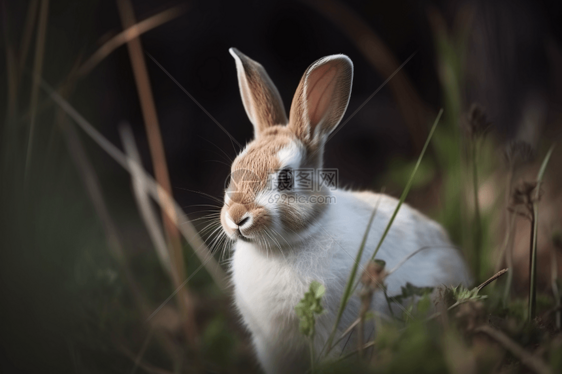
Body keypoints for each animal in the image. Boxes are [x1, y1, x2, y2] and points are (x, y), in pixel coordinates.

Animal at [221, 47, 470, 374]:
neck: (281, 248)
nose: (236, 217)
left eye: (285, 179)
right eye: (234, 170)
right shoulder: (273, 347)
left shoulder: (334, 335)